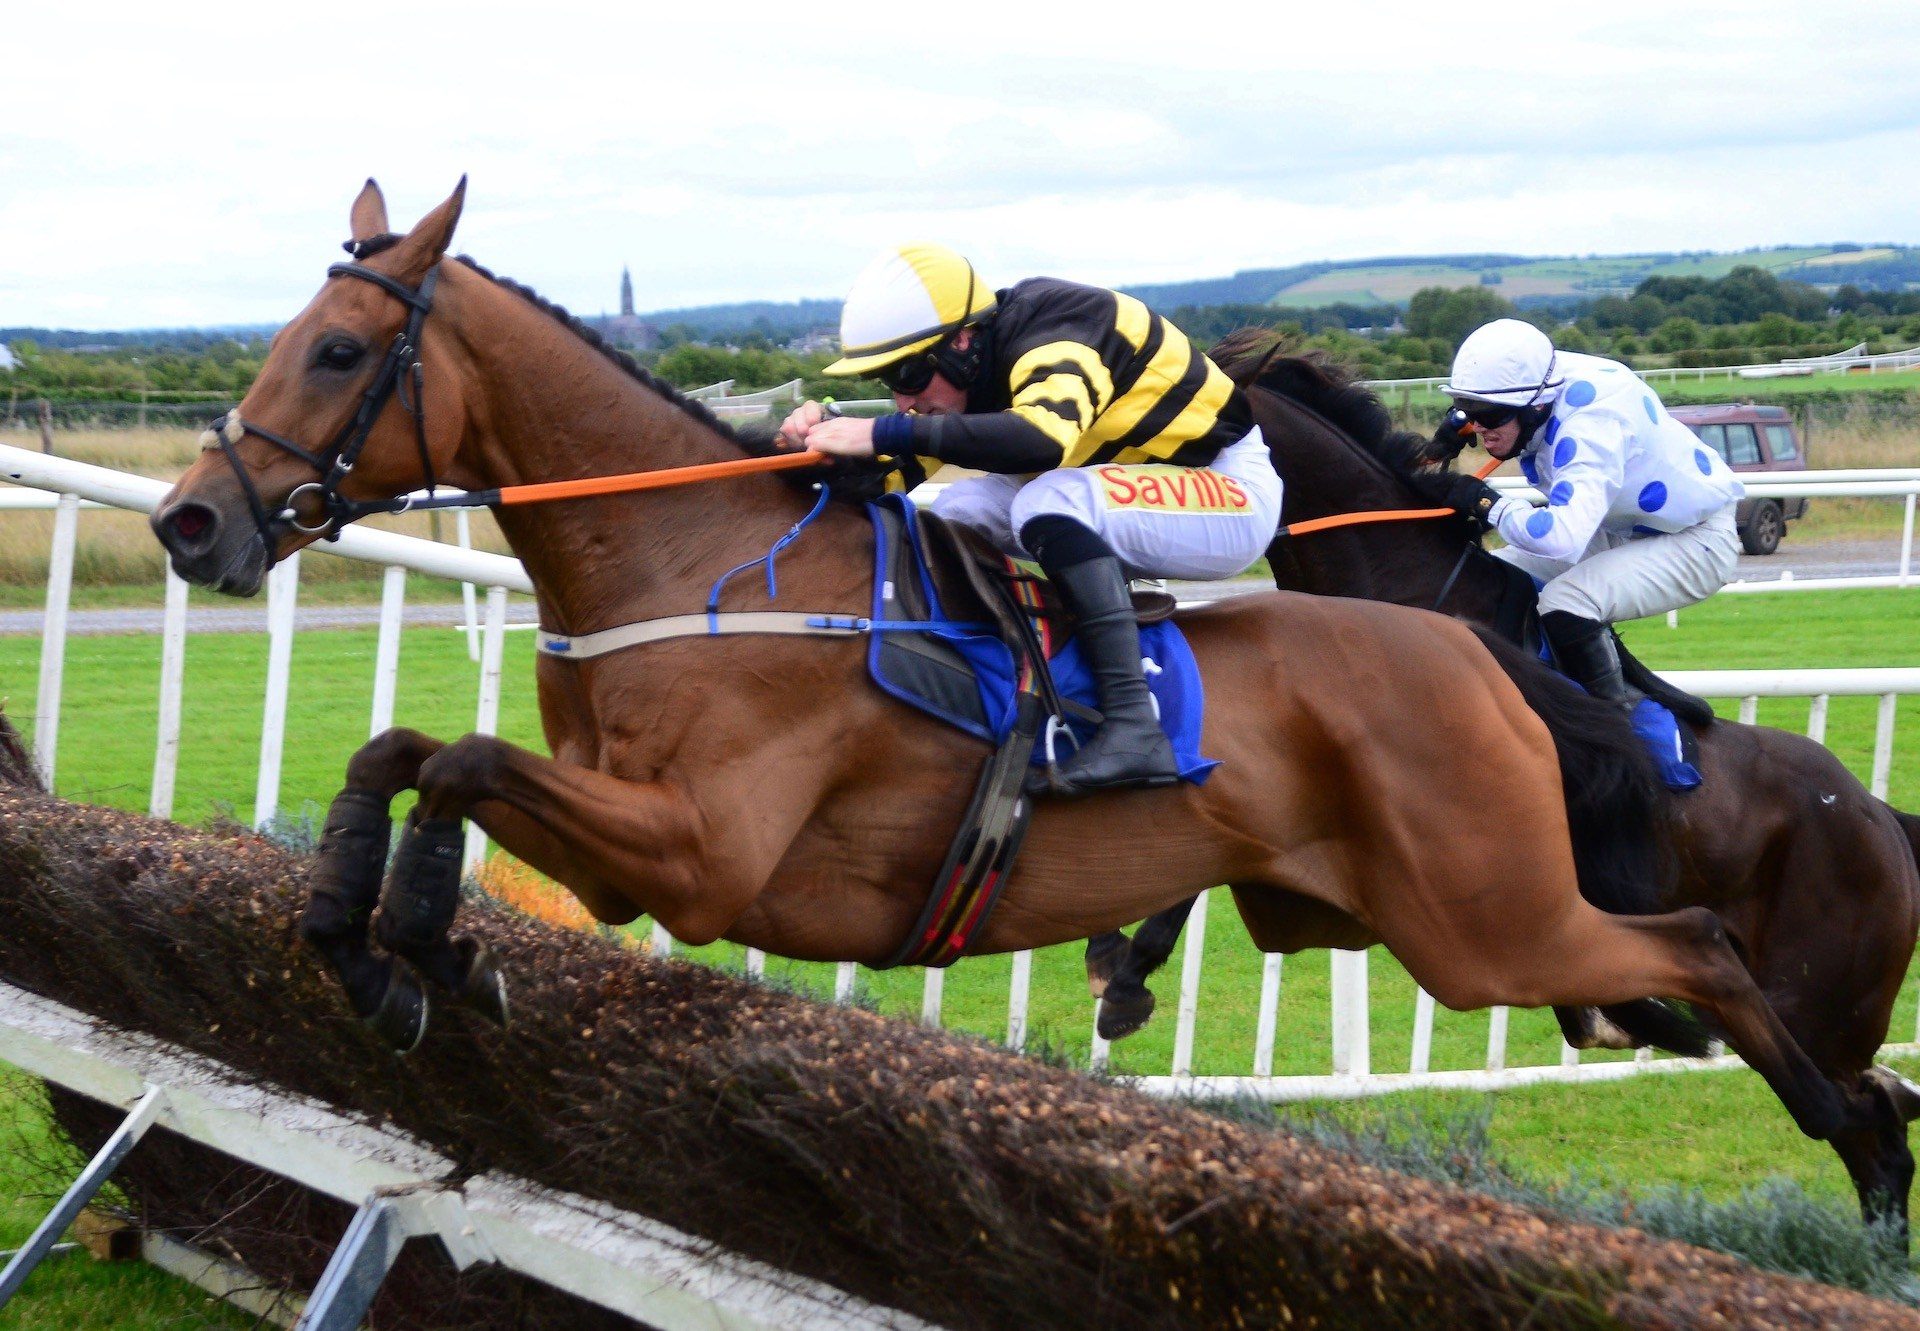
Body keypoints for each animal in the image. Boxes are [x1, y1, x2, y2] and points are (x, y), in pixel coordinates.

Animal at [153, 181, 1889, 1160]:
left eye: (333, 349)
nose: (189, 521)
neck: (690, 558)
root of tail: (1474, 657)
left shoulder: (705, 854)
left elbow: (454, 761)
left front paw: (418, 945)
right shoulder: (623, 832)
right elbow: (400, 751)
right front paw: (359, 925)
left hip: (1489, 922)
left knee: (1697, 950)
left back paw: (1862, 1135)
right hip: (1361, 908)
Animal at [1090, 339, 1920, 1236]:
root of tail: (1879, 815)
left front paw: (1123, 973)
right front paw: (1117, 961)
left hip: (1821, 1003)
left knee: (1869, 1124)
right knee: (1874, 1130)